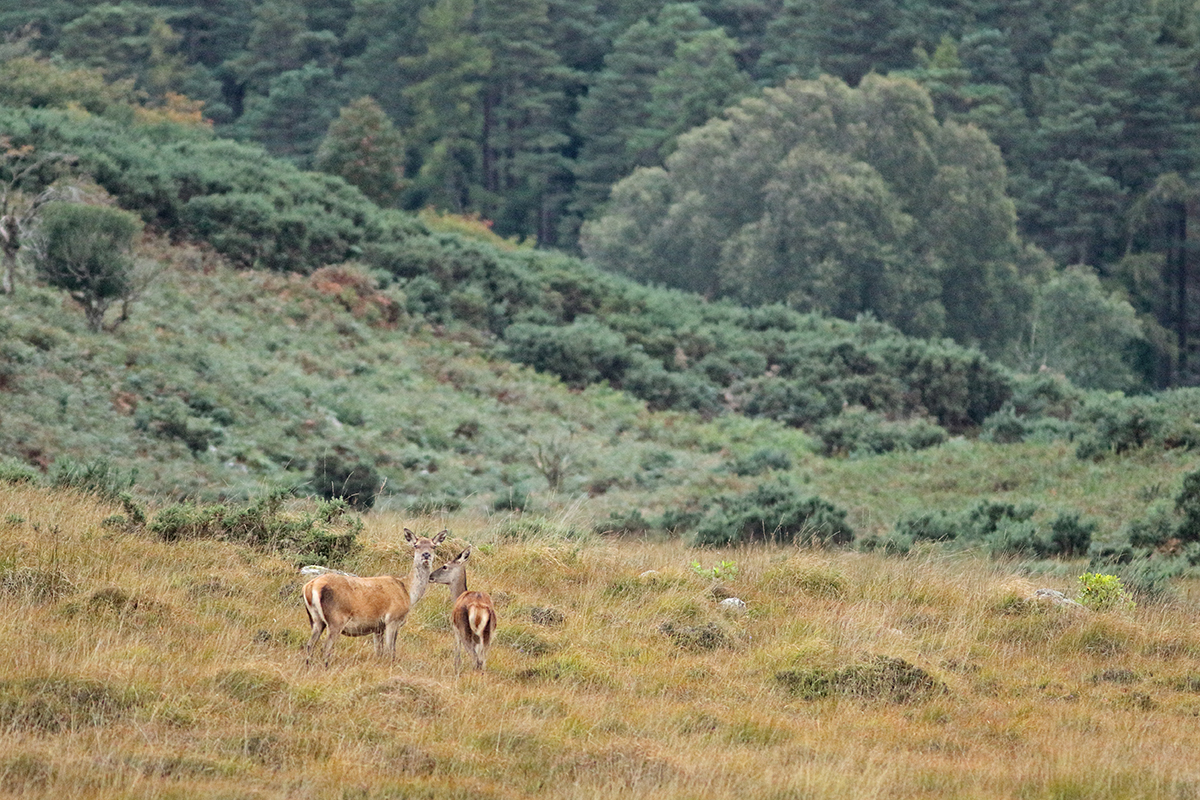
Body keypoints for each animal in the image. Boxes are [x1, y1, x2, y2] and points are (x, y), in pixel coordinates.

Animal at [302, 527, 448, 666]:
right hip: (336, 618)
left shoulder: (378, 627)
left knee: (310, 645)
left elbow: (379, 651)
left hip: (316, 619)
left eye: (433, 546)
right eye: (416, 545)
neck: (408, 592)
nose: (426, 555)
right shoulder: (393, 618)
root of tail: (311, 586)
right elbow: (390, 651)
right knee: (326, 647)